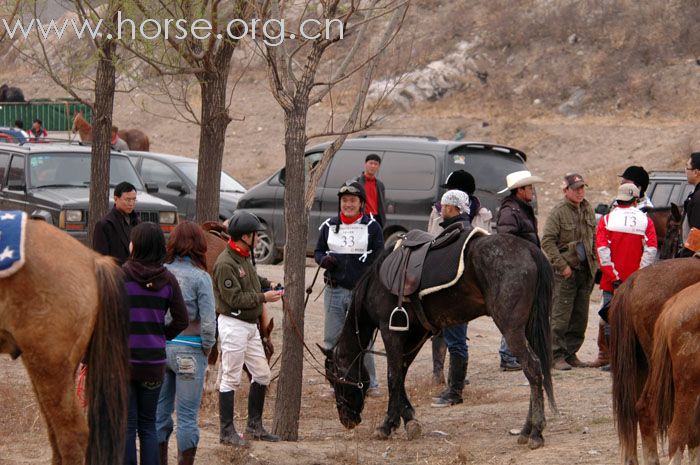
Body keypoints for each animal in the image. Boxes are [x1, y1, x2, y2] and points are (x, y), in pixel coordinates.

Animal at [322, 234, 556, 448]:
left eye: (335, 380)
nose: (347, 420)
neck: (376, 282)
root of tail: (529, 249)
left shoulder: (391, 333)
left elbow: (393, 377)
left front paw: (387, 424)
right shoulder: (416, 336)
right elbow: (401, 375)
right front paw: (409, 419)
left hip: (511, 330)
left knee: (533, 368)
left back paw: (536, 432)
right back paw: (526, 430)